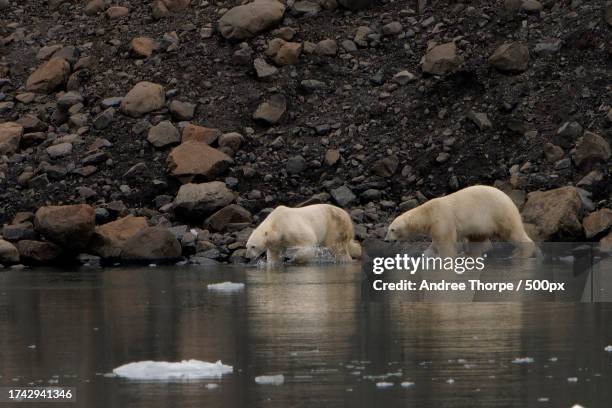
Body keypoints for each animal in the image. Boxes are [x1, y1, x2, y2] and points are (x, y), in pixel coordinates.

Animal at [388, 186, 536, 256]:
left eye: (392, 229)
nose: (386, 240)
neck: (428, 212)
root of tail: (509, 199)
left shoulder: (442, 219)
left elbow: (445, 243)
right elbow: (434, 243)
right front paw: (426, 255)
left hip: (500, 213)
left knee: (513, 232)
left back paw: (521, 254)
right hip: (483, 224)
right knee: (476, 239)